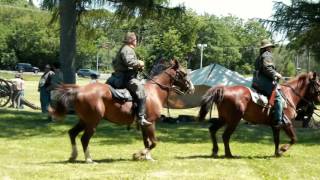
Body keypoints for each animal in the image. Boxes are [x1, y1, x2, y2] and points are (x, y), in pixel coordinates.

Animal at [48, 59, 194, 162]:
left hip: (84, 120)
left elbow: (147, 142)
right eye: (184, 73)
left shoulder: (144, 125)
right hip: (92, 122)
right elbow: (154, 142)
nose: (191, 88)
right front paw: (139, 154)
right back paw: (89, 159)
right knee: (84, 139)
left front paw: (147, 157)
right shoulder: (151, 123)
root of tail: (80, 89)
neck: (155, 91)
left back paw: (74, 155)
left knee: (72, 133)